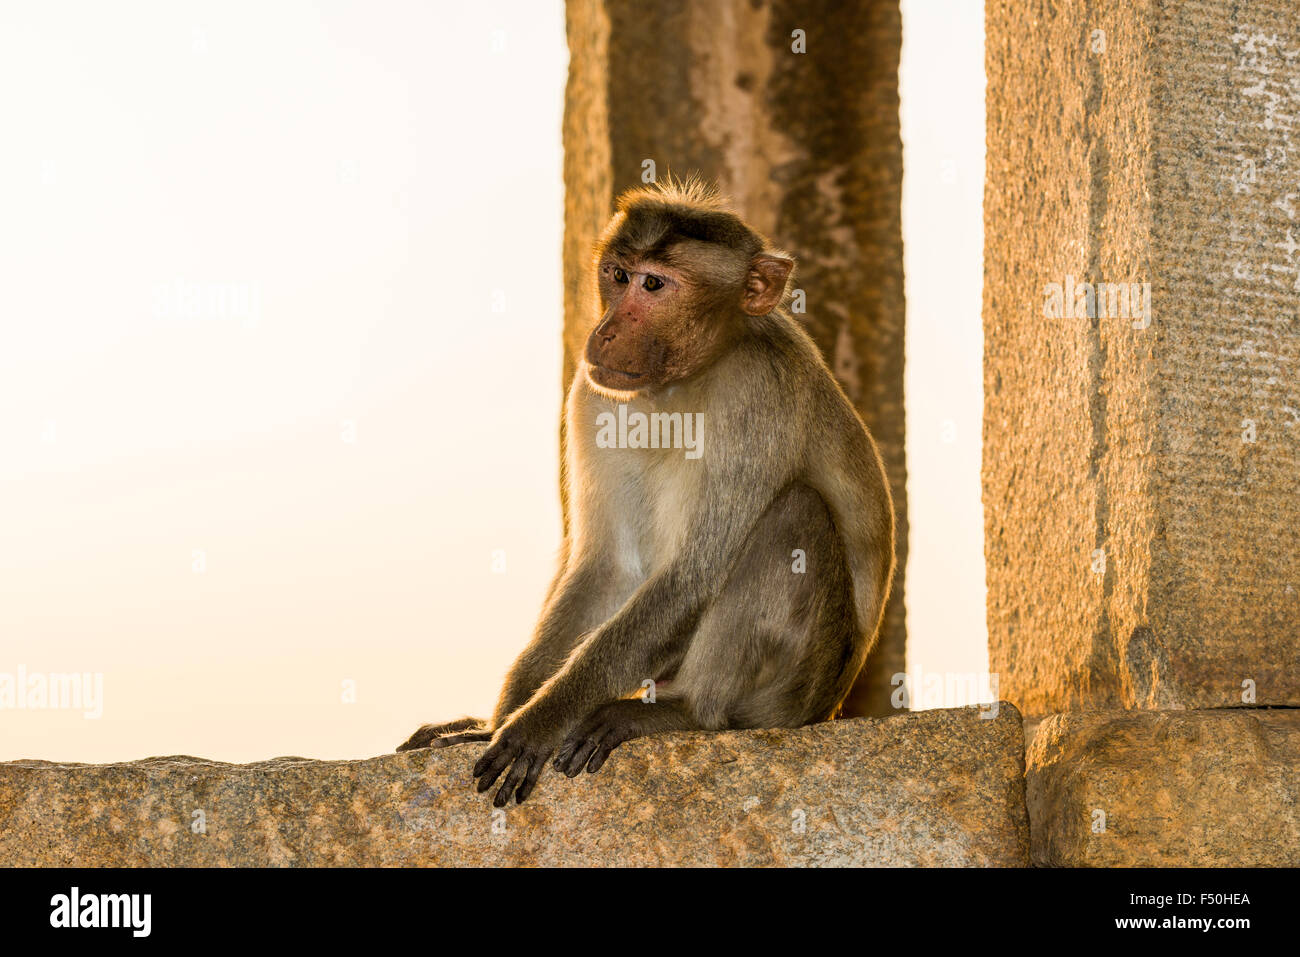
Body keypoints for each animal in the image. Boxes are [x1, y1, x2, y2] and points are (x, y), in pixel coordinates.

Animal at [398, 177, 894, 808]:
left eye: (654, 285)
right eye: (616, 274)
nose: (605, 331)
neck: (682, 380)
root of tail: (831, 708)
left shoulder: (759, 391)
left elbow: (691, 575)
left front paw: (539, 721)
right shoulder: (593, 394)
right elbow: (608, 567)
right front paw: (498, 720)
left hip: (795, 695)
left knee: (793, 513)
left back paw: (690, 714)